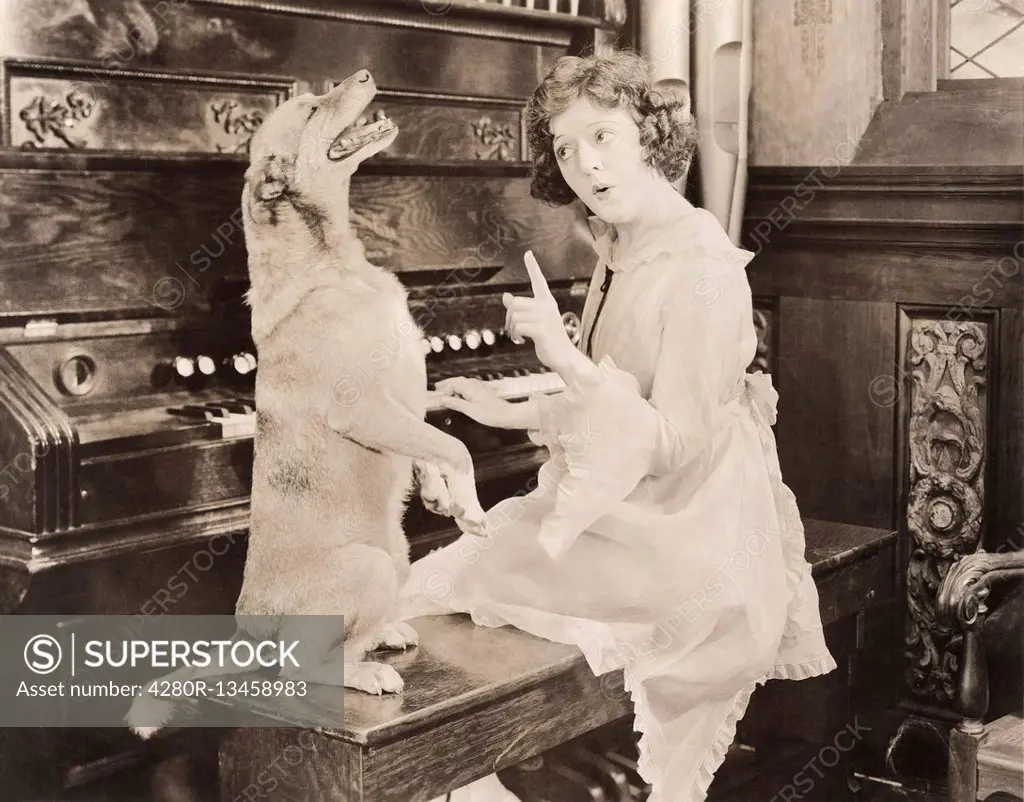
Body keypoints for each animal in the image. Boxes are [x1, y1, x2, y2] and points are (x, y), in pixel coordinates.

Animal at [126, 69, 487, 741]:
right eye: (314, 109)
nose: (366, 74)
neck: (335, 260)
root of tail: (249, 634)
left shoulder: (405, 401)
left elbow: (431, 433)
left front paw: (437, 493)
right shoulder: (366, 408)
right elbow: (452, 443)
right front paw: (471, 508)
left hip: (397, 557)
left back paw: (383, 636)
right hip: (374, 565)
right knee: (310, 669)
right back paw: (366, 670)